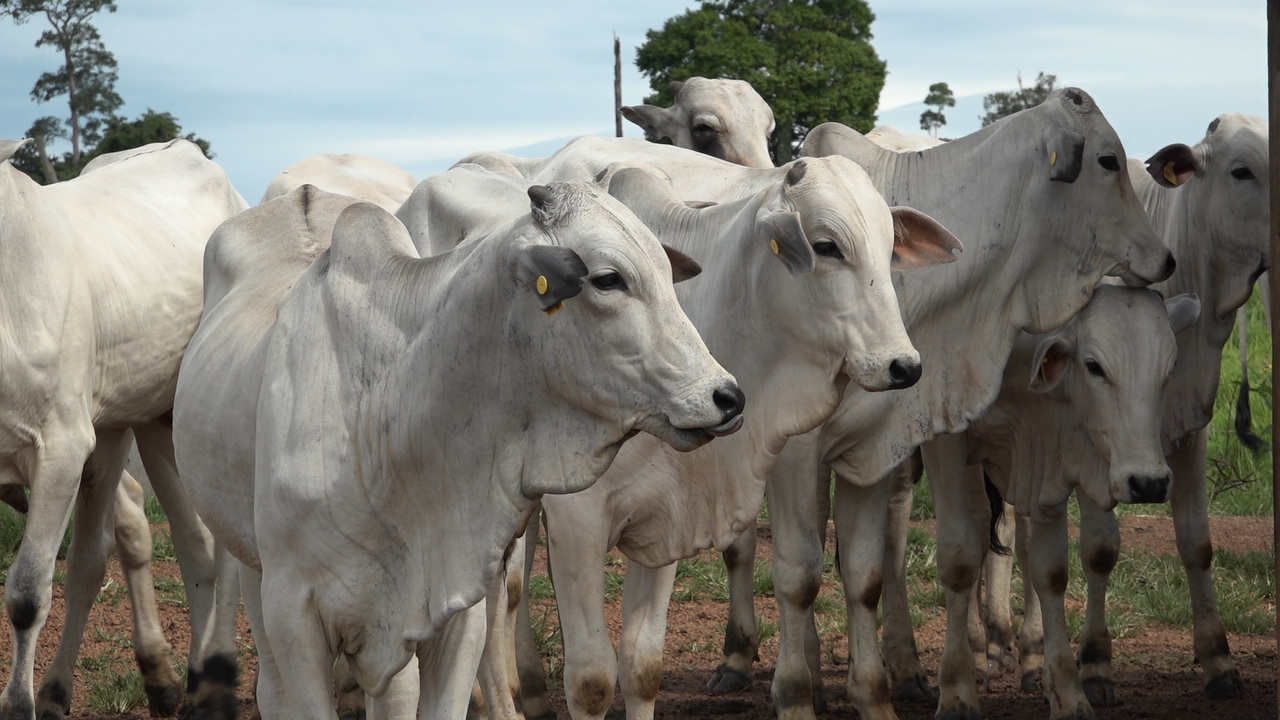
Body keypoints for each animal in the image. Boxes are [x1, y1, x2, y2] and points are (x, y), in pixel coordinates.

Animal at [175, 180, 747, 717]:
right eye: (609, 279)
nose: (727, 397)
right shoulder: (294, 612)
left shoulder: (452, 607)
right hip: (251, 565)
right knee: (273, 690)